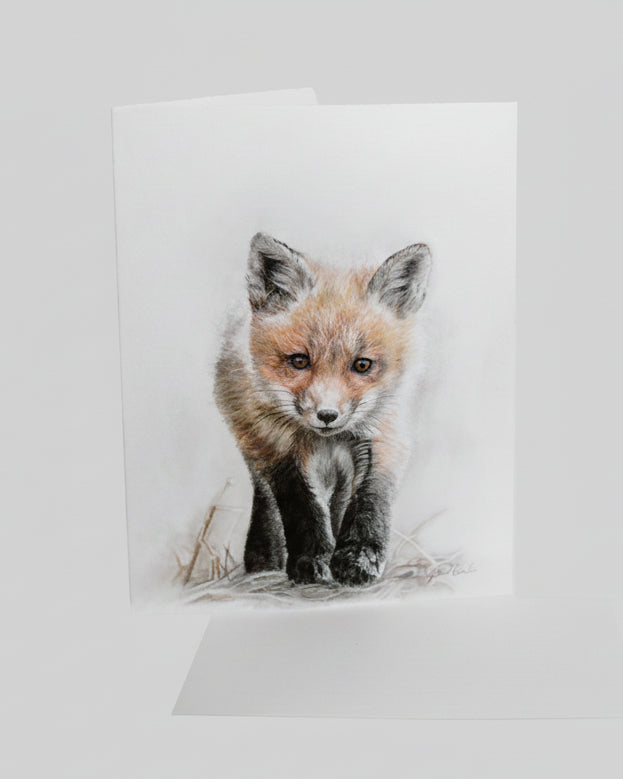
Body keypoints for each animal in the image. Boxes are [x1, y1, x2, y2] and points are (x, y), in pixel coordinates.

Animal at [214, 232, 432, 586]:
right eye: (299, 361)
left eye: (362, 365)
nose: (327, 416)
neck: (327, 439)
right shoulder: (278, 445)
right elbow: (301, 507)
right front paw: (312, 560)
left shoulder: (384, 433)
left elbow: (370, 500)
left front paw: (358, 556)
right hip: (253, 440)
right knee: (268, 502)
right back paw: (264, 562)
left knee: (340, 501)